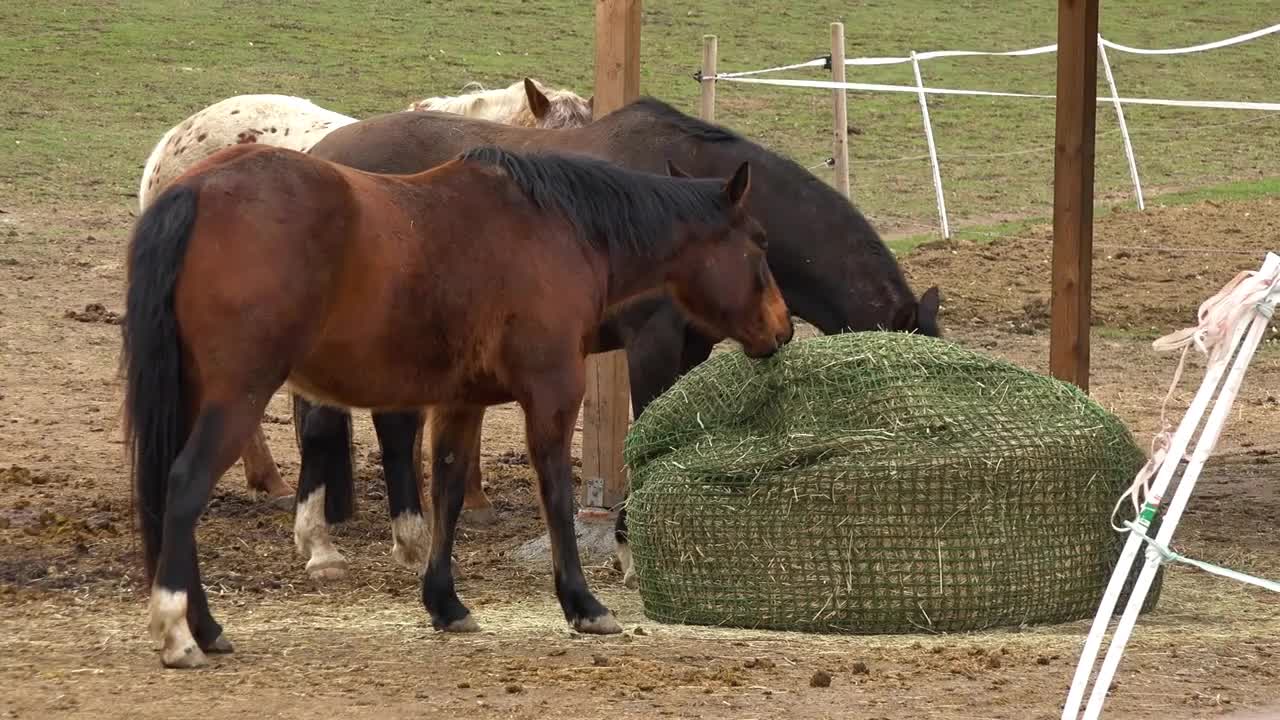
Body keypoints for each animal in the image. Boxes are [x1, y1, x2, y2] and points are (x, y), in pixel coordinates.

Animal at [124, 141, 793, 666]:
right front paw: (582, 604)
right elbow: (556, 496)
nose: (782, 329)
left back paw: (206, 627)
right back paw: (178, 632)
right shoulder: (553, 394)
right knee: (182, 487)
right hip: (237, 399)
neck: (560, 228)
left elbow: (445, 492)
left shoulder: (460, 402)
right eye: (760, 242)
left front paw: (445, 602)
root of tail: (197, 189)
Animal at [270, 95, 942, 586]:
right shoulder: (651, 345)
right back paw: (322, 545)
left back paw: (408, 540)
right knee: (326, 423)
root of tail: (321, 151)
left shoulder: (690, 347)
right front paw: (628, 554)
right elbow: (642, 437)